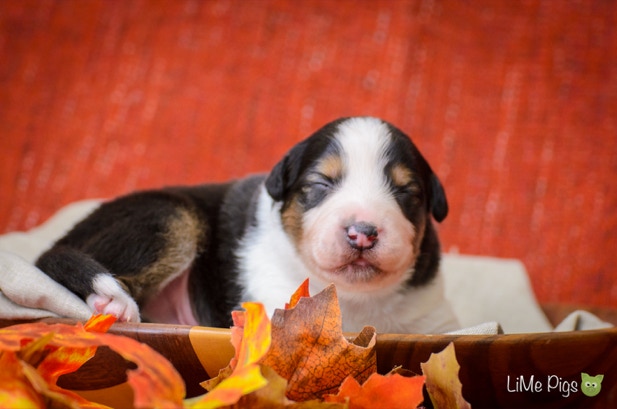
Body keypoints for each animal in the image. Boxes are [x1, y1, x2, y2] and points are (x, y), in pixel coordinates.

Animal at [36, 117, 459, 333]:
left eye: (406, 192)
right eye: (321, 184)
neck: (353, 298)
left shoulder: (433, 321)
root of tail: (58, 239)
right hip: (169, 218)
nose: (363, 232)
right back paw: (110, 302)